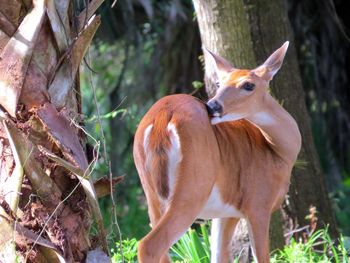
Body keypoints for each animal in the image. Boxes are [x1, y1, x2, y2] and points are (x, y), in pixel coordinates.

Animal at [133, 42, 302, 262]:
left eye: (249, 85)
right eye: (219, 83)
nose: (212, 105)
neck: (278, 152)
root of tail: (163, 117)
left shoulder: (227, 213)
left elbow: (219, 254)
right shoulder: (257, 205)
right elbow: (262, 257)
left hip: (151, 193)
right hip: (193, 186)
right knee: (150, 244)